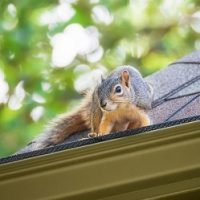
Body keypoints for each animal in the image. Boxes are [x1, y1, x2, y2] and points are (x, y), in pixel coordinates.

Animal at [18, 65, 153, 153]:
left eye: (118, 89)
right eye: (98, 90)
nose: (102, 104)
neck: (120, 108)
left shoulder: (141, 109)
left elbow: (143, 120)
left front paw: (140, 128)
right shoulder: (108, 116)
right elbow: (105, 125)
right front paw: (100, 134)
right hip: (95, 112)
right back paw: (94, 133)